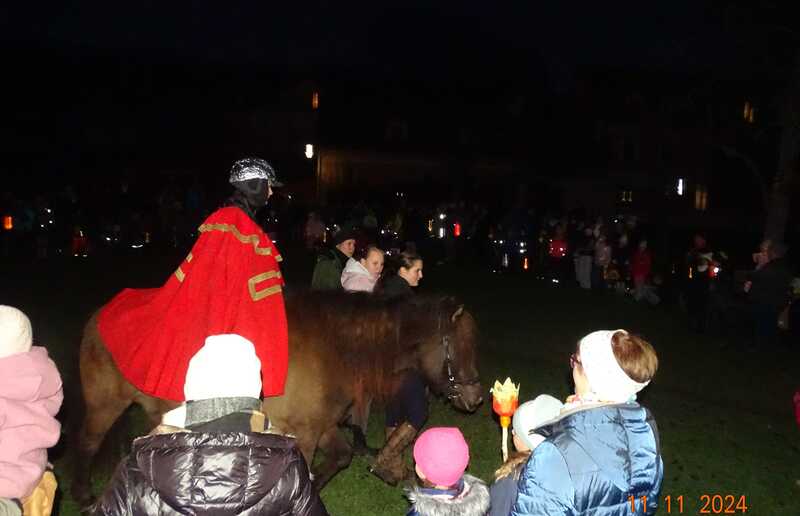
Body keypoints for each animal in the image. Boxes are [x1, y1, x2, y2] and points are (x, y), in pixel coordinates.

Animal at [75, 292, 484, 506]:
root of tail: (99, 314)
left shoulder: (322, 427)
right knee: (87, 445)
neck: (332, 346)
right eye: (460, 346)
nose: (477, 398)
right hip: (104, 406)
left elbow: (339, 457)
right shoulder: (303, 433)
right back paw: (84, 497)